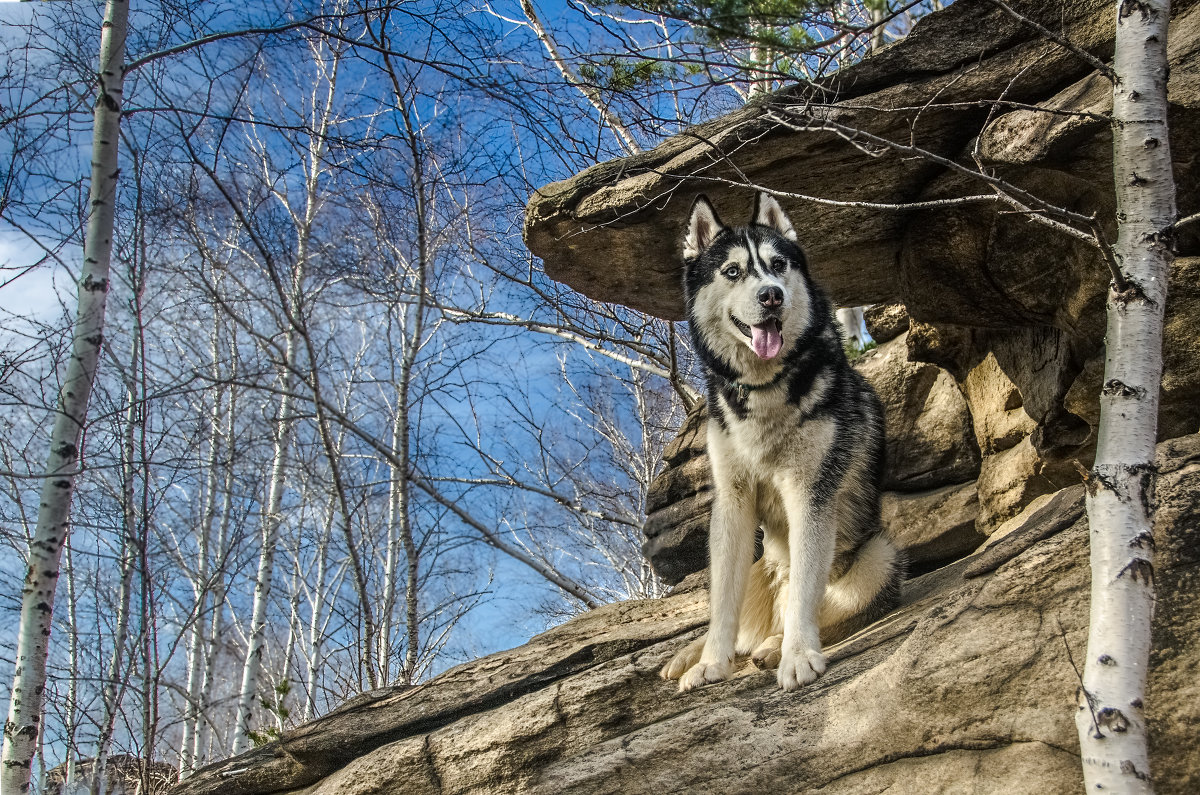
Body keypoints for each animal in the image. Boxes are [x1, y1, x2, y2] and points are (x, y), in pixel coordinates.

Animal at [662, 192, 902, 691]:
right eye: (732, 271)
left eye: (777, 265)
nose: (771, 294)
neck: (765, 387)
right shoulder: (732, 503)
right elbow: (722, 605)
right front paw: (709, 663)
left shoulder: (811, 492)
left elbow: (806, 595)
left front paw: (797, 656)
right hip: (759, 566)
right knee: (734, 622)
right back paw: (692, 654)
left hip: (879, 556)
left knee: (819, 610)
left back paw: (774, 647)